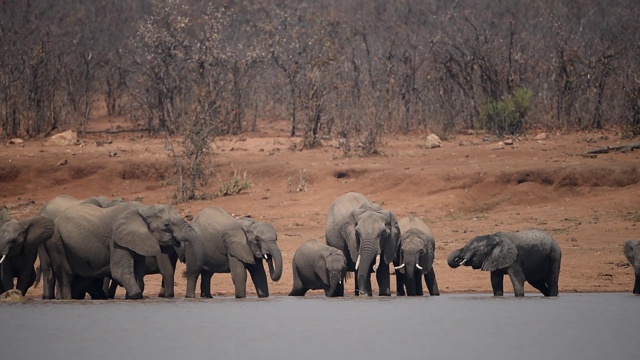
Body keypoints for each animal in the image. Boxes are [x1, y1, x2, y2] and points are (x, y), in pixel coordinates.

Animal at [47, 201, 202, 300]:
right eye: (166, 225)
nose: (184, 273)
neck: (144, 209)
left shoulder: (138, 240)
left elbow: (138, 271)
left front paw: (131, 297)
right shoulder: (116, 240)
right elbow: (119, 271)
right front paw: (135, 296)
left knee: (80, 278)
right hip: (56, 242)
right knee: (66, 274)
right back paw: (68, 299)